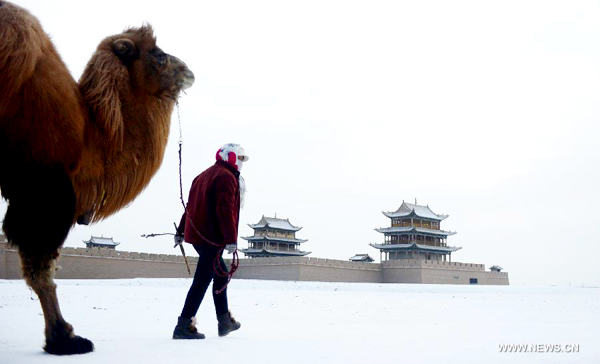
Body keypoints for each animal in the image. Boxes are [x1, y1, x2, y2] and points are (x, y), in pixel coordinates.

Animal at [0, 1, 195, 354]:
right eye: (158, 54)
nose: (189, 71)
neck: (88, 134)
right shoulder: (44, 188)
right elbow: (41, 267)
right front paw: (65, 339)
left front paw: (61, 336)